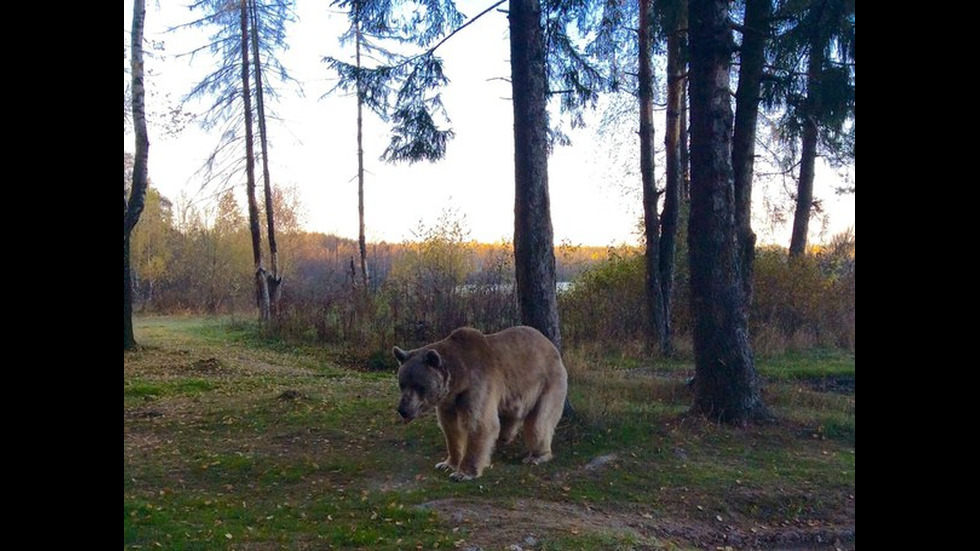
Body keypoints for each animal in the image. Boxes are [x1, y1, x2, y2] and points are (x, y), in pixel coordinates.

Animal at [394, 326, 572, 480]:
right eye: (402, 383)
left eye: (419, 386)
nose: (403, 409)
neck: (459, 381)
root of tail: (551, 346)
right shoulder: (449, 402)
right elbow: (451, 428)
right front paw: (447, 463)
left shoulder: (477, 386)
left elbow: (479, 424)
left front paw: (463, 473)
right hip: (514, 394)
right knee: (509, 418)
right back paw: (503, 439)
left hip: (548, 383)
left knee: (538, 423)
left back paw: (537, 456)